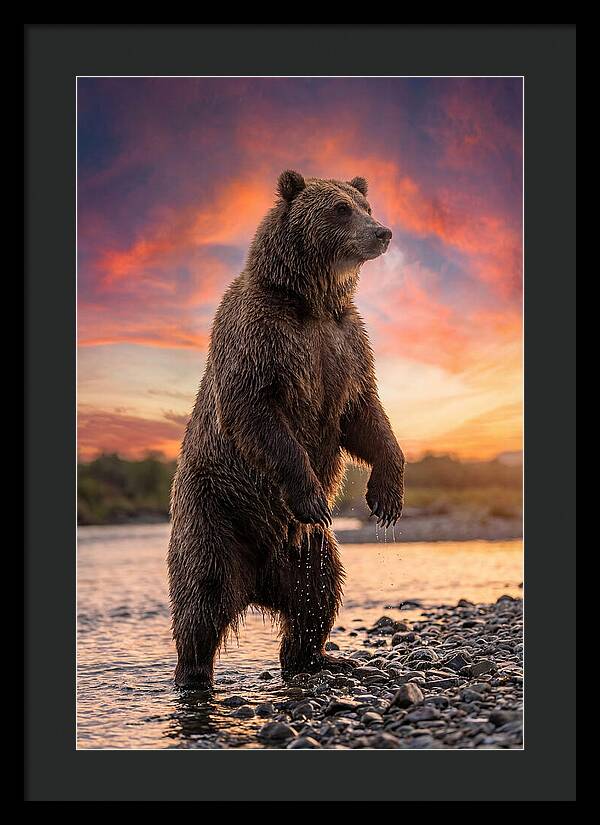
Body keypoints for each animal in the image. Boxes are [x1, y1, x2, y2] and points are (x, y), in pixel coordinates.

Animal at [168, 170, 405, 688]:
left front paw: (386, 497)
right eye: (340, 209)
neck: (311, 302)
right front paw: (313, 494)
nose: (382, 232)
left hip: (307, 549)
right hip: (215, 511)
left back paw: (318, 656)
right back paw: (193, 674)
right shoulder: (262, 338)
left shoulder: (345, 345)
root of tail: (257, 582)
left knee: (318, 592)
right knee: (202, 594)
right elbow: (258, 413)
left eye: (365, 204)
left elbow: (365, 415)